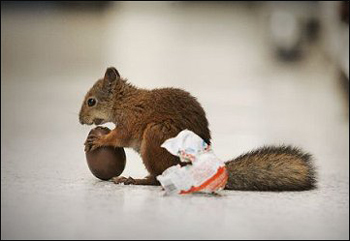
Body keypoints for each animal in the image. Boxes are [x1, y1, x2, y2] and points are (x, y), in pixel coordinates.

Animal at [80, 67, 318, 191]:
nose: (81, 120)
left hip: (156, 137)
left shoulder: (130, 121)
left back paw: (135, 180)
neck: (123, 102)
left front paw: (99, 140)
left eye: (91, 101)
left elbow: (119, 137)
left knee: (158, 179)